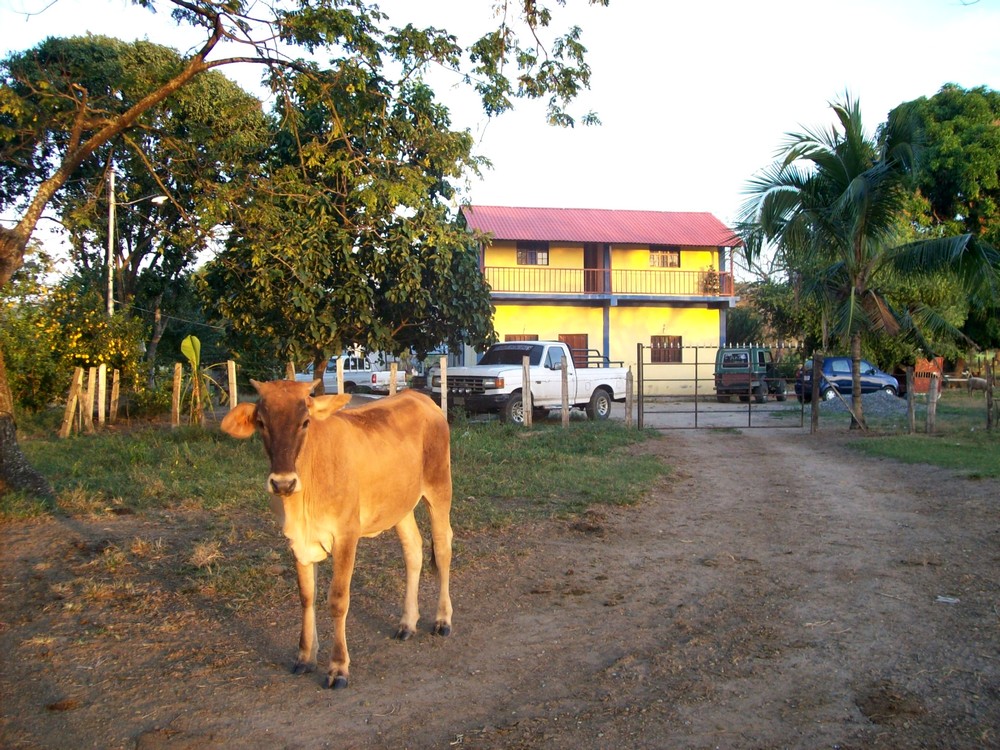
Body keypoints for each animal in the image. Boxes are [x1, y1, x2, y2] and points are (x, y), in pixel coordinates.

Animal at [223, 384, 454, 692]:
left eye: (305, 422)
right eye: (261, 422)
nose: (283, 483)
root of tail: (419, 397)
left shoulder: (346, 535)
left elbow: (337, 599)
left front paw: (338, 667)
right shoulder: (297, 541)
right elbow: (307, 596)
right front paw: (305, 657)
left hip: (439, 488)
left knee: (442, 548)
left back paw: (442, 620)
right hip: (400, 505)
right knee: (413, 551)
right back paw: (407, 623)